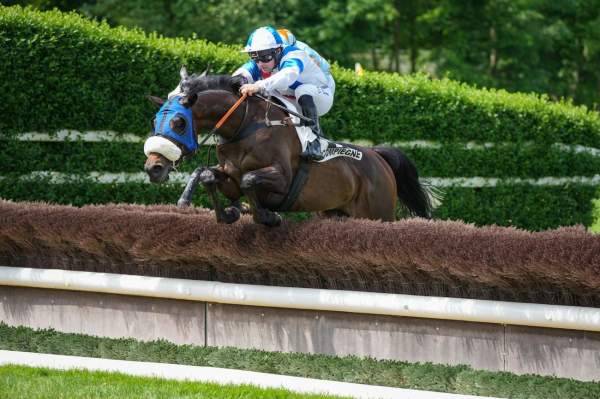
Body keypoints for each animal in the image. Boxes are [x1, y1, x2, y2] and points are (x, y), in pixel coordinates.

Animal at [145, 67, 436, 227]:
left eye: (179, 122)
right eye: (155, 120)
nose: (153, 168)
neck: (244, 126)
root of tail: (378, 156)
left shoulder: (283, 179)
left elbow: (250, 179)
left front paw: (265, 216)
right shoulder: (229, 176)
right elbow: (206, 174)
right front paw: (223, 211)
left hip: (380, 213)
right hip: (335, 212)